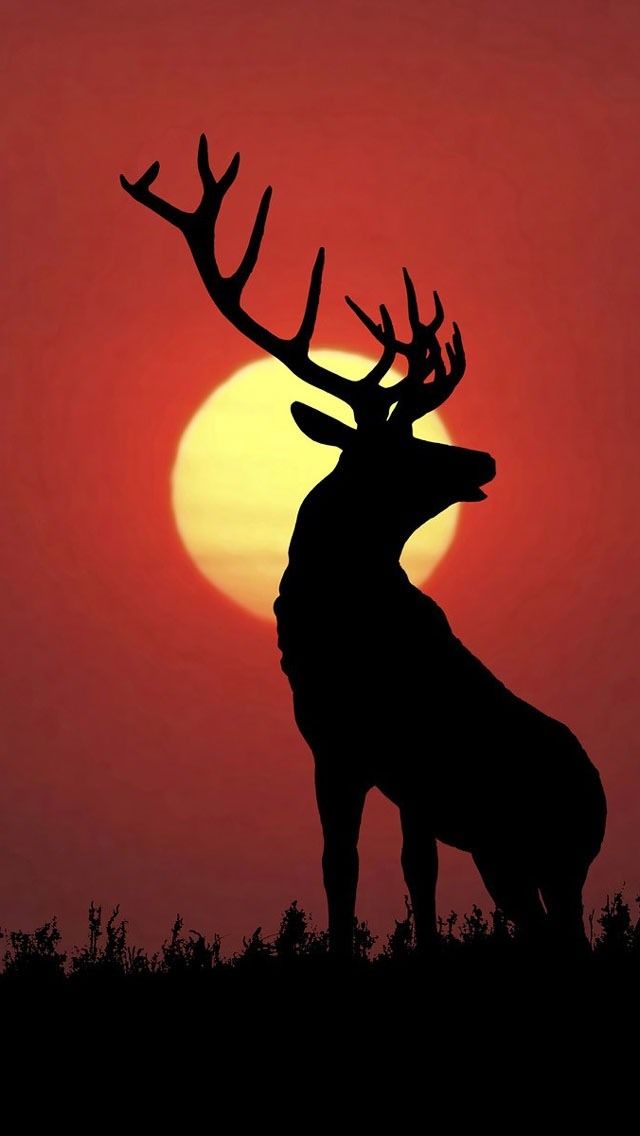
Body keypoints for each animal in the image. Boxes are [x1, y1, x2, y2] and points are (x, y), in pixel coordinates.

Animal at [121, 136, 607, 957]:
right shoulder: (365, 758)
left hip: (534, 853)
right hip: (517, 857)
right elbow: (381, 868)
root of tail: (598, 803)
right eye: (396, 448)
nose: (482, 459)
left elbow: (376, 867)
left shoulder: (369, 745)